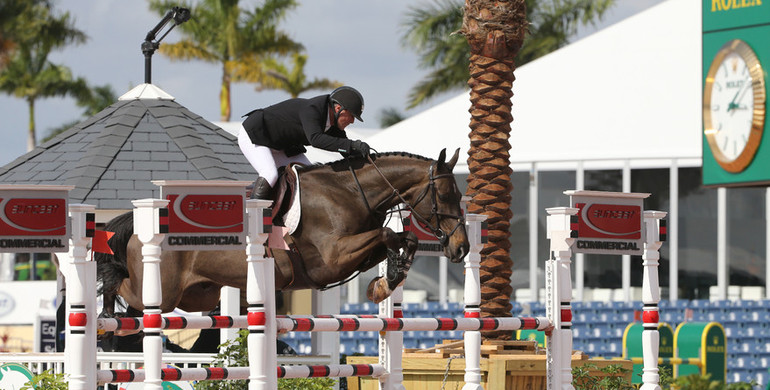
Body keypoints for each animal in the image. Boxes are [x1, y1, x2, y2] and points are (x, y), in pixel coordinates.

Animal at [96, 149, 468, 320]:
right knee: (125, 288)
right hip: (163, 292)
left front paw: (388, 279)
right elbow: (386, 234)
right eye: (446, 195)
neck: (351, 192)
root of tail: (140, 222)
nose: (461, 249)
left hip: (197, 296)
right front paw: (386, 280)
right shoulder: (331, 260)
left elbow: (401, 239)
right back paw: (104, 308)